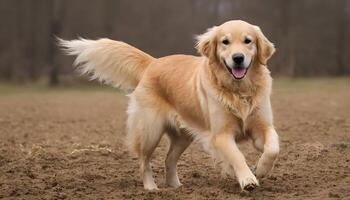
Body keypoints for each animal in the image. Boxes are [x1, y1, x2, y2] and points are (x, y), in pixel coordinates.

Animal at [59, 19, 278, 191]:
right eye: (225, 42)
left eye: (248, 41)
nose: (238, 58)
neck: (239, 90)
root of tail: (152, 62)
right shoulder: (221, 135)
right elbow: (237, 156)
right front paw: (247, 179)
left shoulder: (262, 127)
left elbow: (272, 148)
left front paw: (260, 169)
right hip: (150, 131)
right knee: (144, 161)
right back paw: (151, 187)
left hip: (182, 136)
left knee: (168, 159)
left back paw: (176, 186)